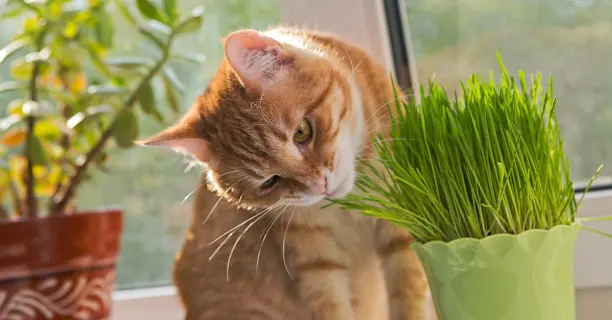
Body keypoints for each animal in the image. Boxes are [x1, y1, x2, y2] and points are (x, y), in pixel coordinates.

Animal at [142, 27, 430, 320]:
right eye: (270, 181)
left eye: (302, 132)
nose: (320, 186)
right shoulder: (313, 257)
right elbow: (331, 305)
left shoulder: (404, 219)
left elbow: (408, 291)